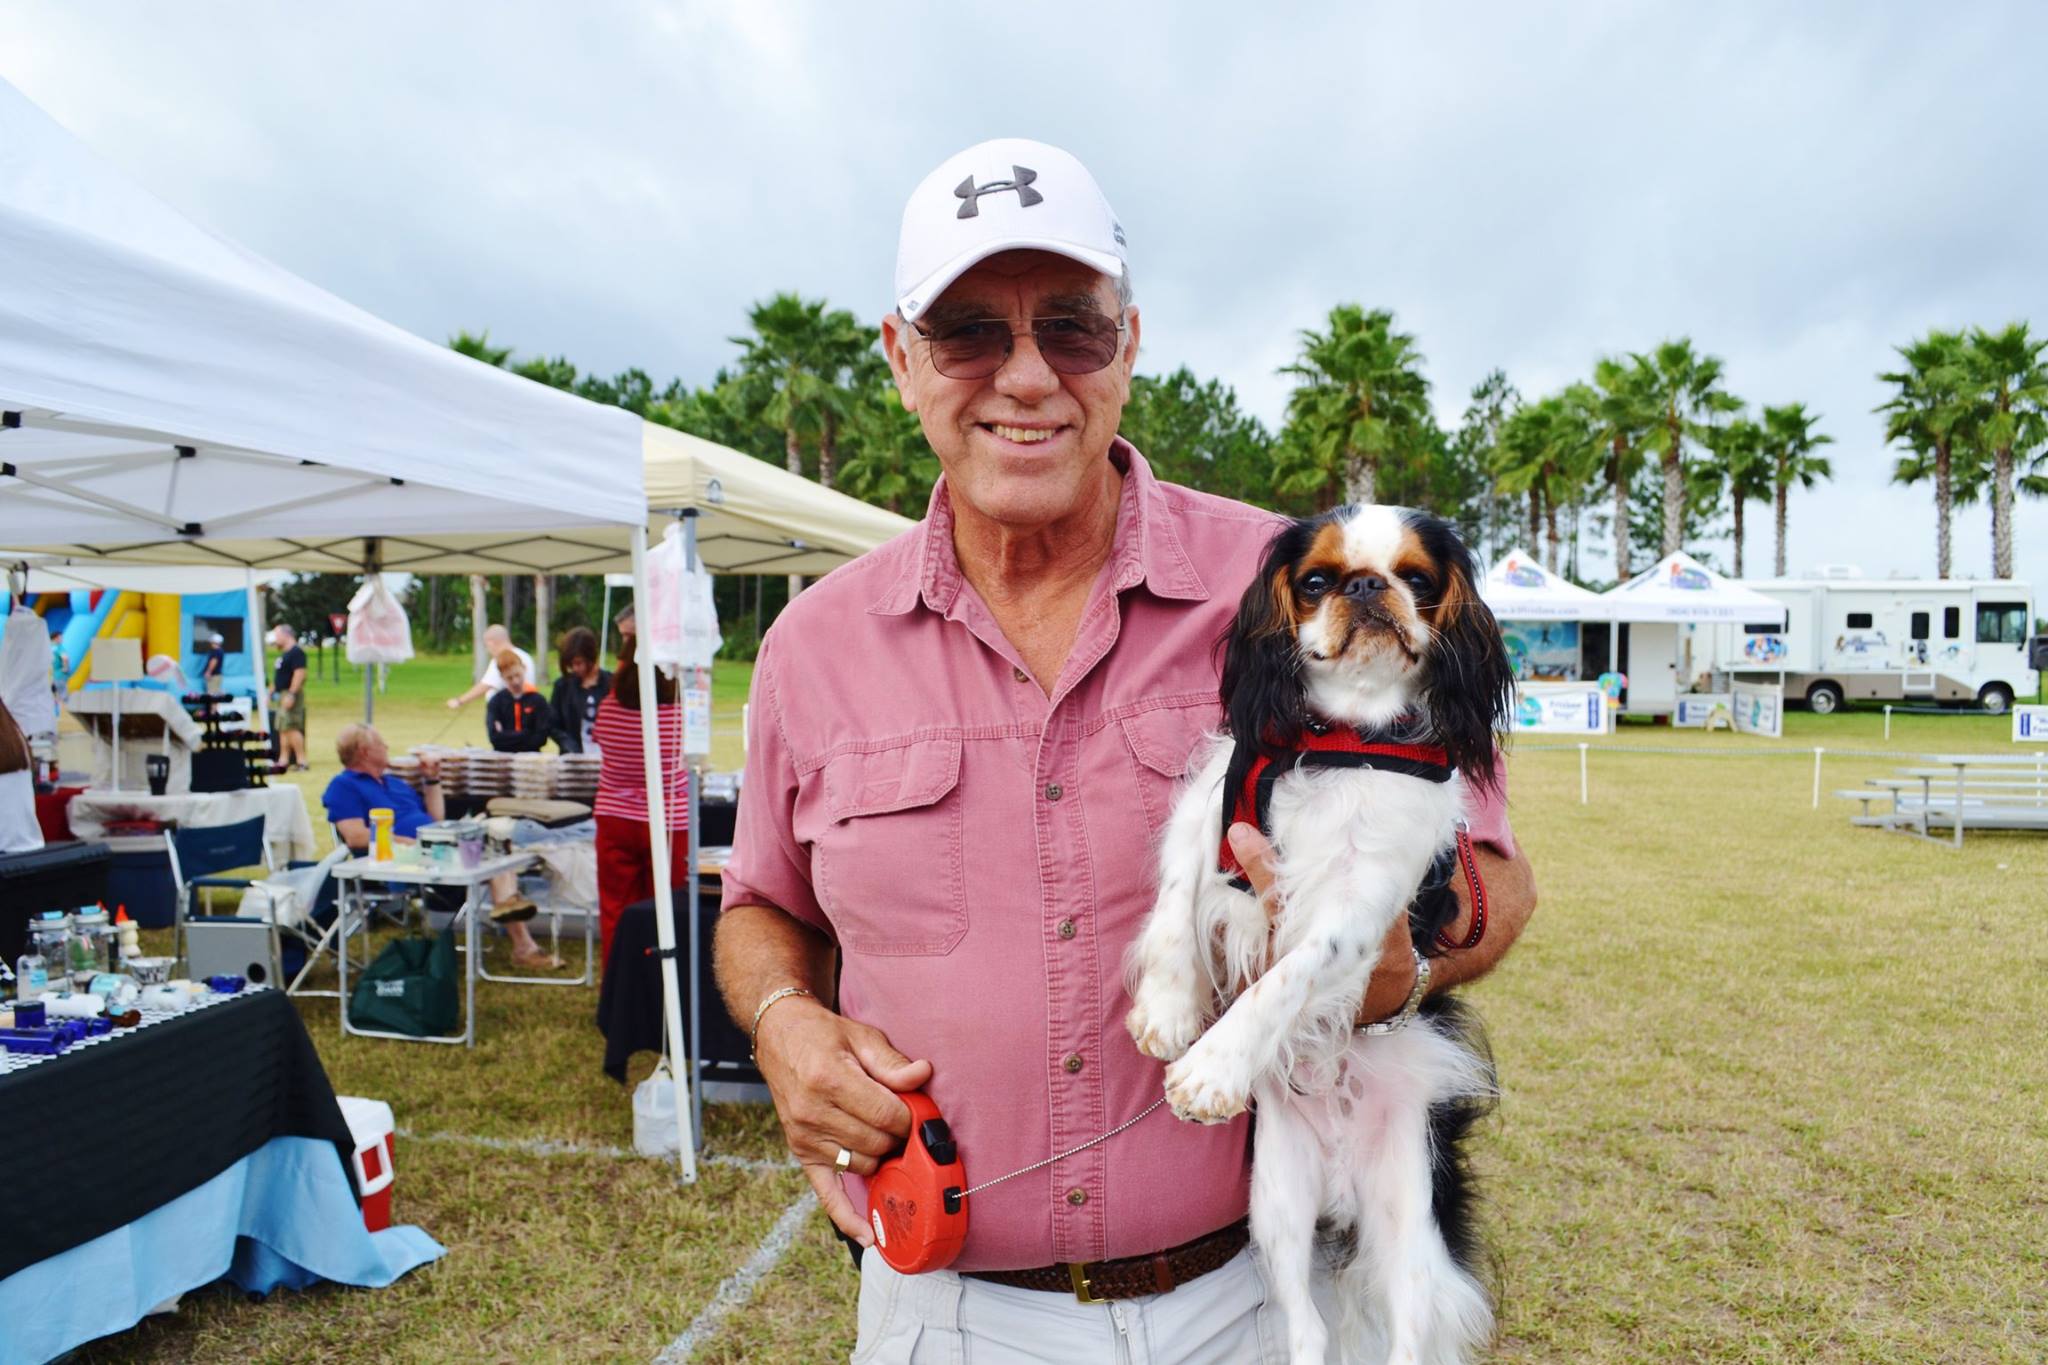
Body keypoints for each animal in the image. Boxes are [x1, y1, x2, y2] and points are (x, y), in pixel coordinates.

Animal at [1130, 507, 1515, 1358]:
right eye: (1314, 581)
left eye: (1417, 579)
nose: (1368, 587)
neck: (1346, 733)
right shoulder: (1212, 808)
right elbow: (1174, 903)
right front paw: (1167, 1012)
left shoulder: (1362, 904)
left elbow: (1286, 975)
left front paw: (1212, 1069)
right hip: (1276, 1212)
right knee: (1305, 1328)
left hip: (1408, 1228)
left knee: (1406, 1334)